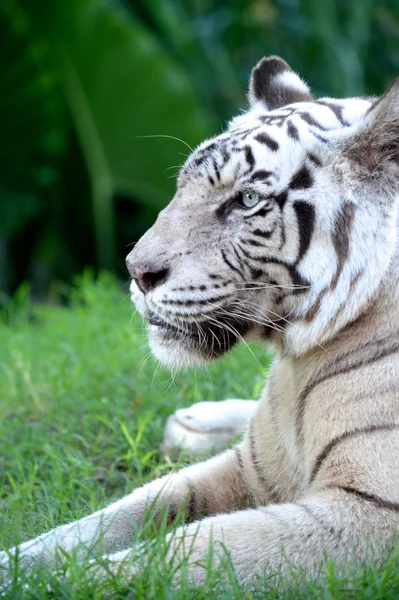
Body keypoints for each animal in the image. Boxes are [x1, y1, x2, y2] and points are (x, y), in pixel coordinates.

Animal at [2, 54, 399, 588]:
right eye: (181, 188)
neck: (298, 364)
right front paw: (17, 564)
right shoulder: (250, 467)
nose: (136, 271)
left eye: (247, 201)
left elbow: (185, 550)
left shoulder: (370, 514)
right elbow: (123, 512)